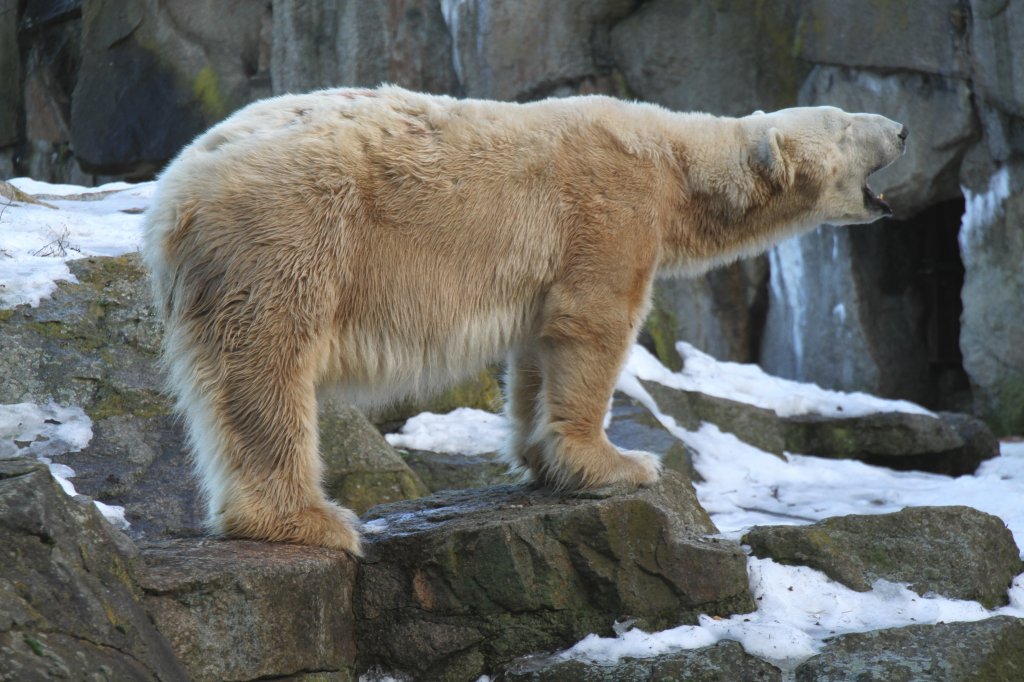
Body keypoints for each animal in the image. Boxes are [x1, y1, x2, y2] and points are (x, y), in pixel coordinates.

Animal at [142, 86, 905, 552]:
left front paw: (543, 458)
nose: (900, 126)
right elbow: (593, 325)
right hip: (291, 229)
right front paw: (620, 464)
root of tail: (175, 193)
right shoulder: (608, 209)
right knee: (267, 364)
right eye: (847, 123)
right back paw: (311, 521)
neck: (673, 164)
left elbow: (539, 345)